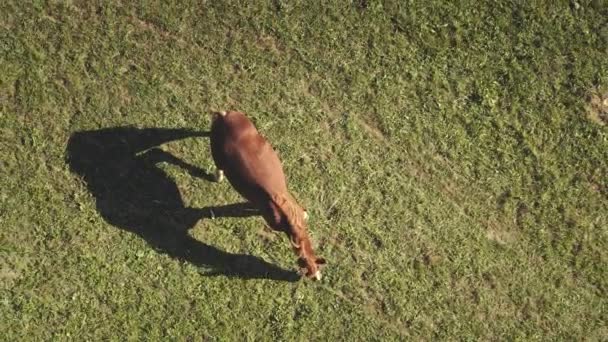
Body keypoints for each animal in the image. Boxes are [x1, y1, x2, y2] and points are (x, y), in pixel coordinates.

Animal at [210, 111, 326, 280]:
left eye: (317, 268)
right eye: (308, 274)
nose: (317, 279)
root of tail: (225, 115)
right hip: (216, 150)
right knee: (218, 165)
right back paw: (218, 177)